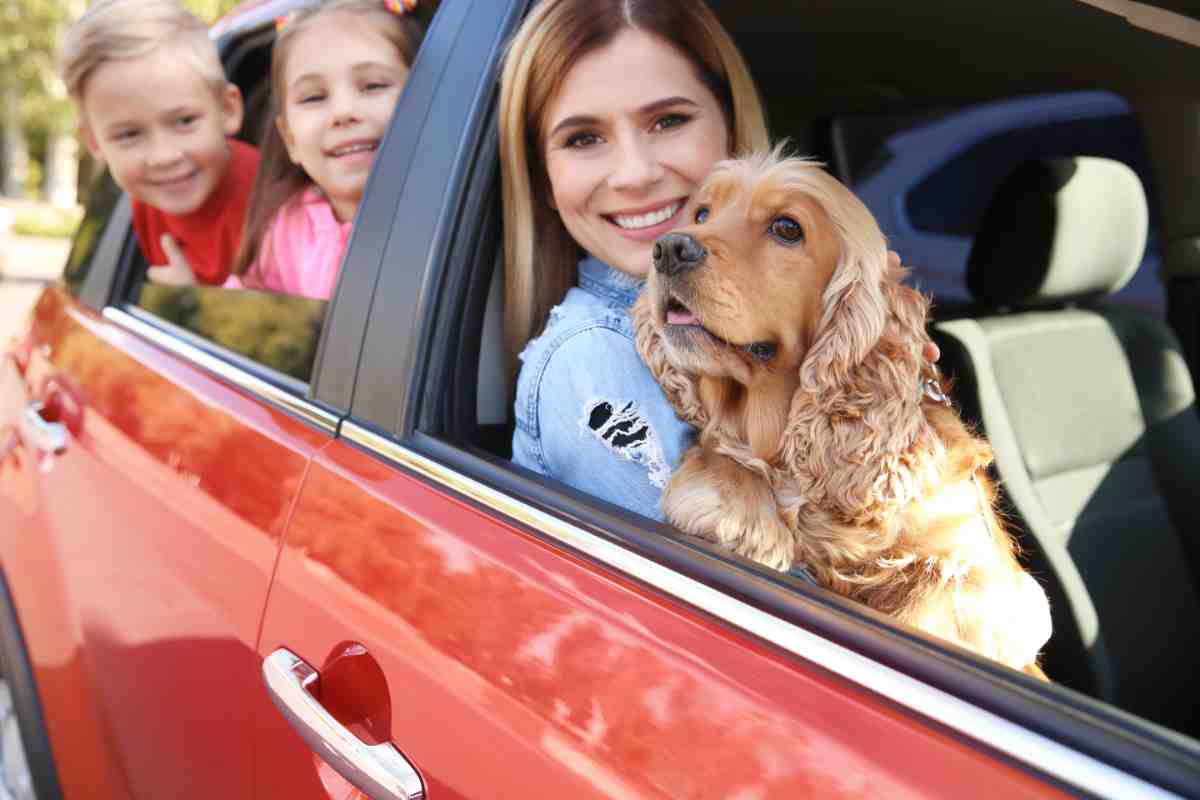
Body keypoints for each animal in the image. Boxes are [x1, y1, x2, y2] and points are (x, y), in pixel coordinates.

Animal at [633, 148, 1056, 676]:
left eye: (787, 228)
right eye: (702, 213)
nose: (668, 248)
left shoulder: (991, 578)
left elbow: (933, 593)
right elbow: (725, 454)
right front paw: (739, 509)